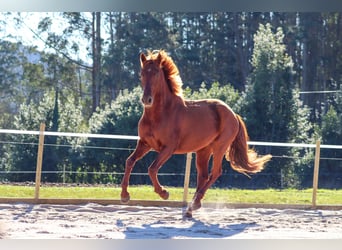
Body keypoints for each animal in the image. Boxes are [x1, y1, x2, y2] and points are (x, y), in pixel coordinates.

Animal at [119, 49, 272, 217]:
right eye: (142, 73)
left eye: (156, 73)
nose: (147, 99)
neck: (160, 114)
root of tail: (233, 114)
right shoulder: (145, 143)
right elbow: (130, 161)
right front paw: (124, 196)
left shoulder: (168, 148)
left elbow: (152, 169)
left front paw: (164, 193)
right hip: (203, 150)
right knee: (203, 175)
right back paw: (192, 206)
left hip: (219, 147)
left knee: (215, 173)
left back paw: (192, 205)